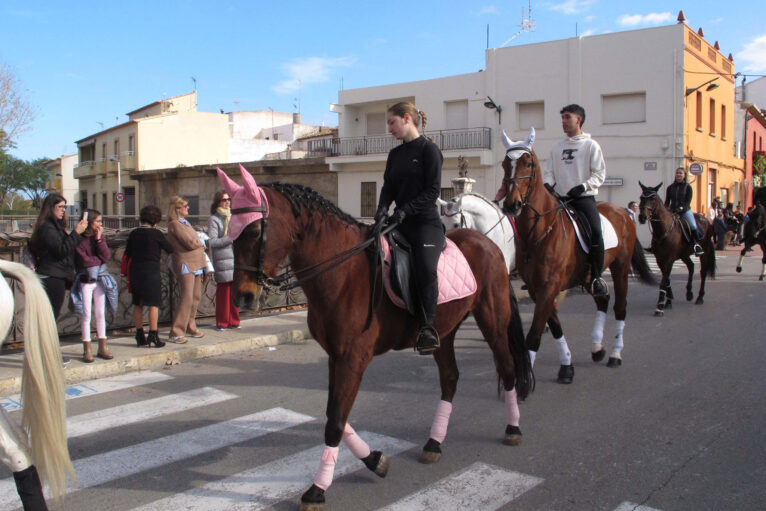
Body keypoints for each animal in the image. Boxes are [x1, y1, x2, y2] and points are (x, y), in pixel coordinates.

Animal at [218, 166, 536, 510]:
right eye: (231, 233)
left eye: (252, 232)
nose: (243, 298)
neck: (342, 269)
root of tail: (489, 244)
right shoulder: (336, 356)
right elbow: (334, 413)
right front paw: (374, 460)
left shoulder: (352, 358)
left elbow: (335, 421)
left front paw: (317, 490)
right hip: (445, 330)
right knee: (450, 378)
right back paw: (434, 443)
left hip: (493, 320)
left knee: (507, 369)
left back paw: (513, 428)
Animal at [498, 130, 656, 382]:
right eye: (505, 164)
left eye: (528, 163)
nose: (512, 204)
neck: (539, 232)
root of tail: (623, 212)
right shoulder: (536, 287)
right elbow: (554, 325)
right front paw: (566, 366)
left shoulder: (550, 285)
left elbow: (534, 334)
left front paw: (527, 378)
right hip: (590, 275)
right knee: (603, 300)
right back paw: (597, 349)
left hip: (620, 269)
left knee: (620, 307)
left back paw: (615, 354)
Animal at [640, 182, 716, 314]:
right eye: (641, 197)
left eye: (653, 198)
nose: (642, 217)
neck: (663, 229)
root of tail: (707, 221)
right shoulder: (660, 259)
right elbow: (667, 280)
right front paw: (668, 301)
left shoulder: (669, 259)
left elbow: (664, 281)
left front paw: (660, 306)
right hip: (684, 254)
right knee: (691, 267)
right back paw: (689, 293)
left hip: (704, 252)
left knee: (703, 272)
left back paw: (700, 297)